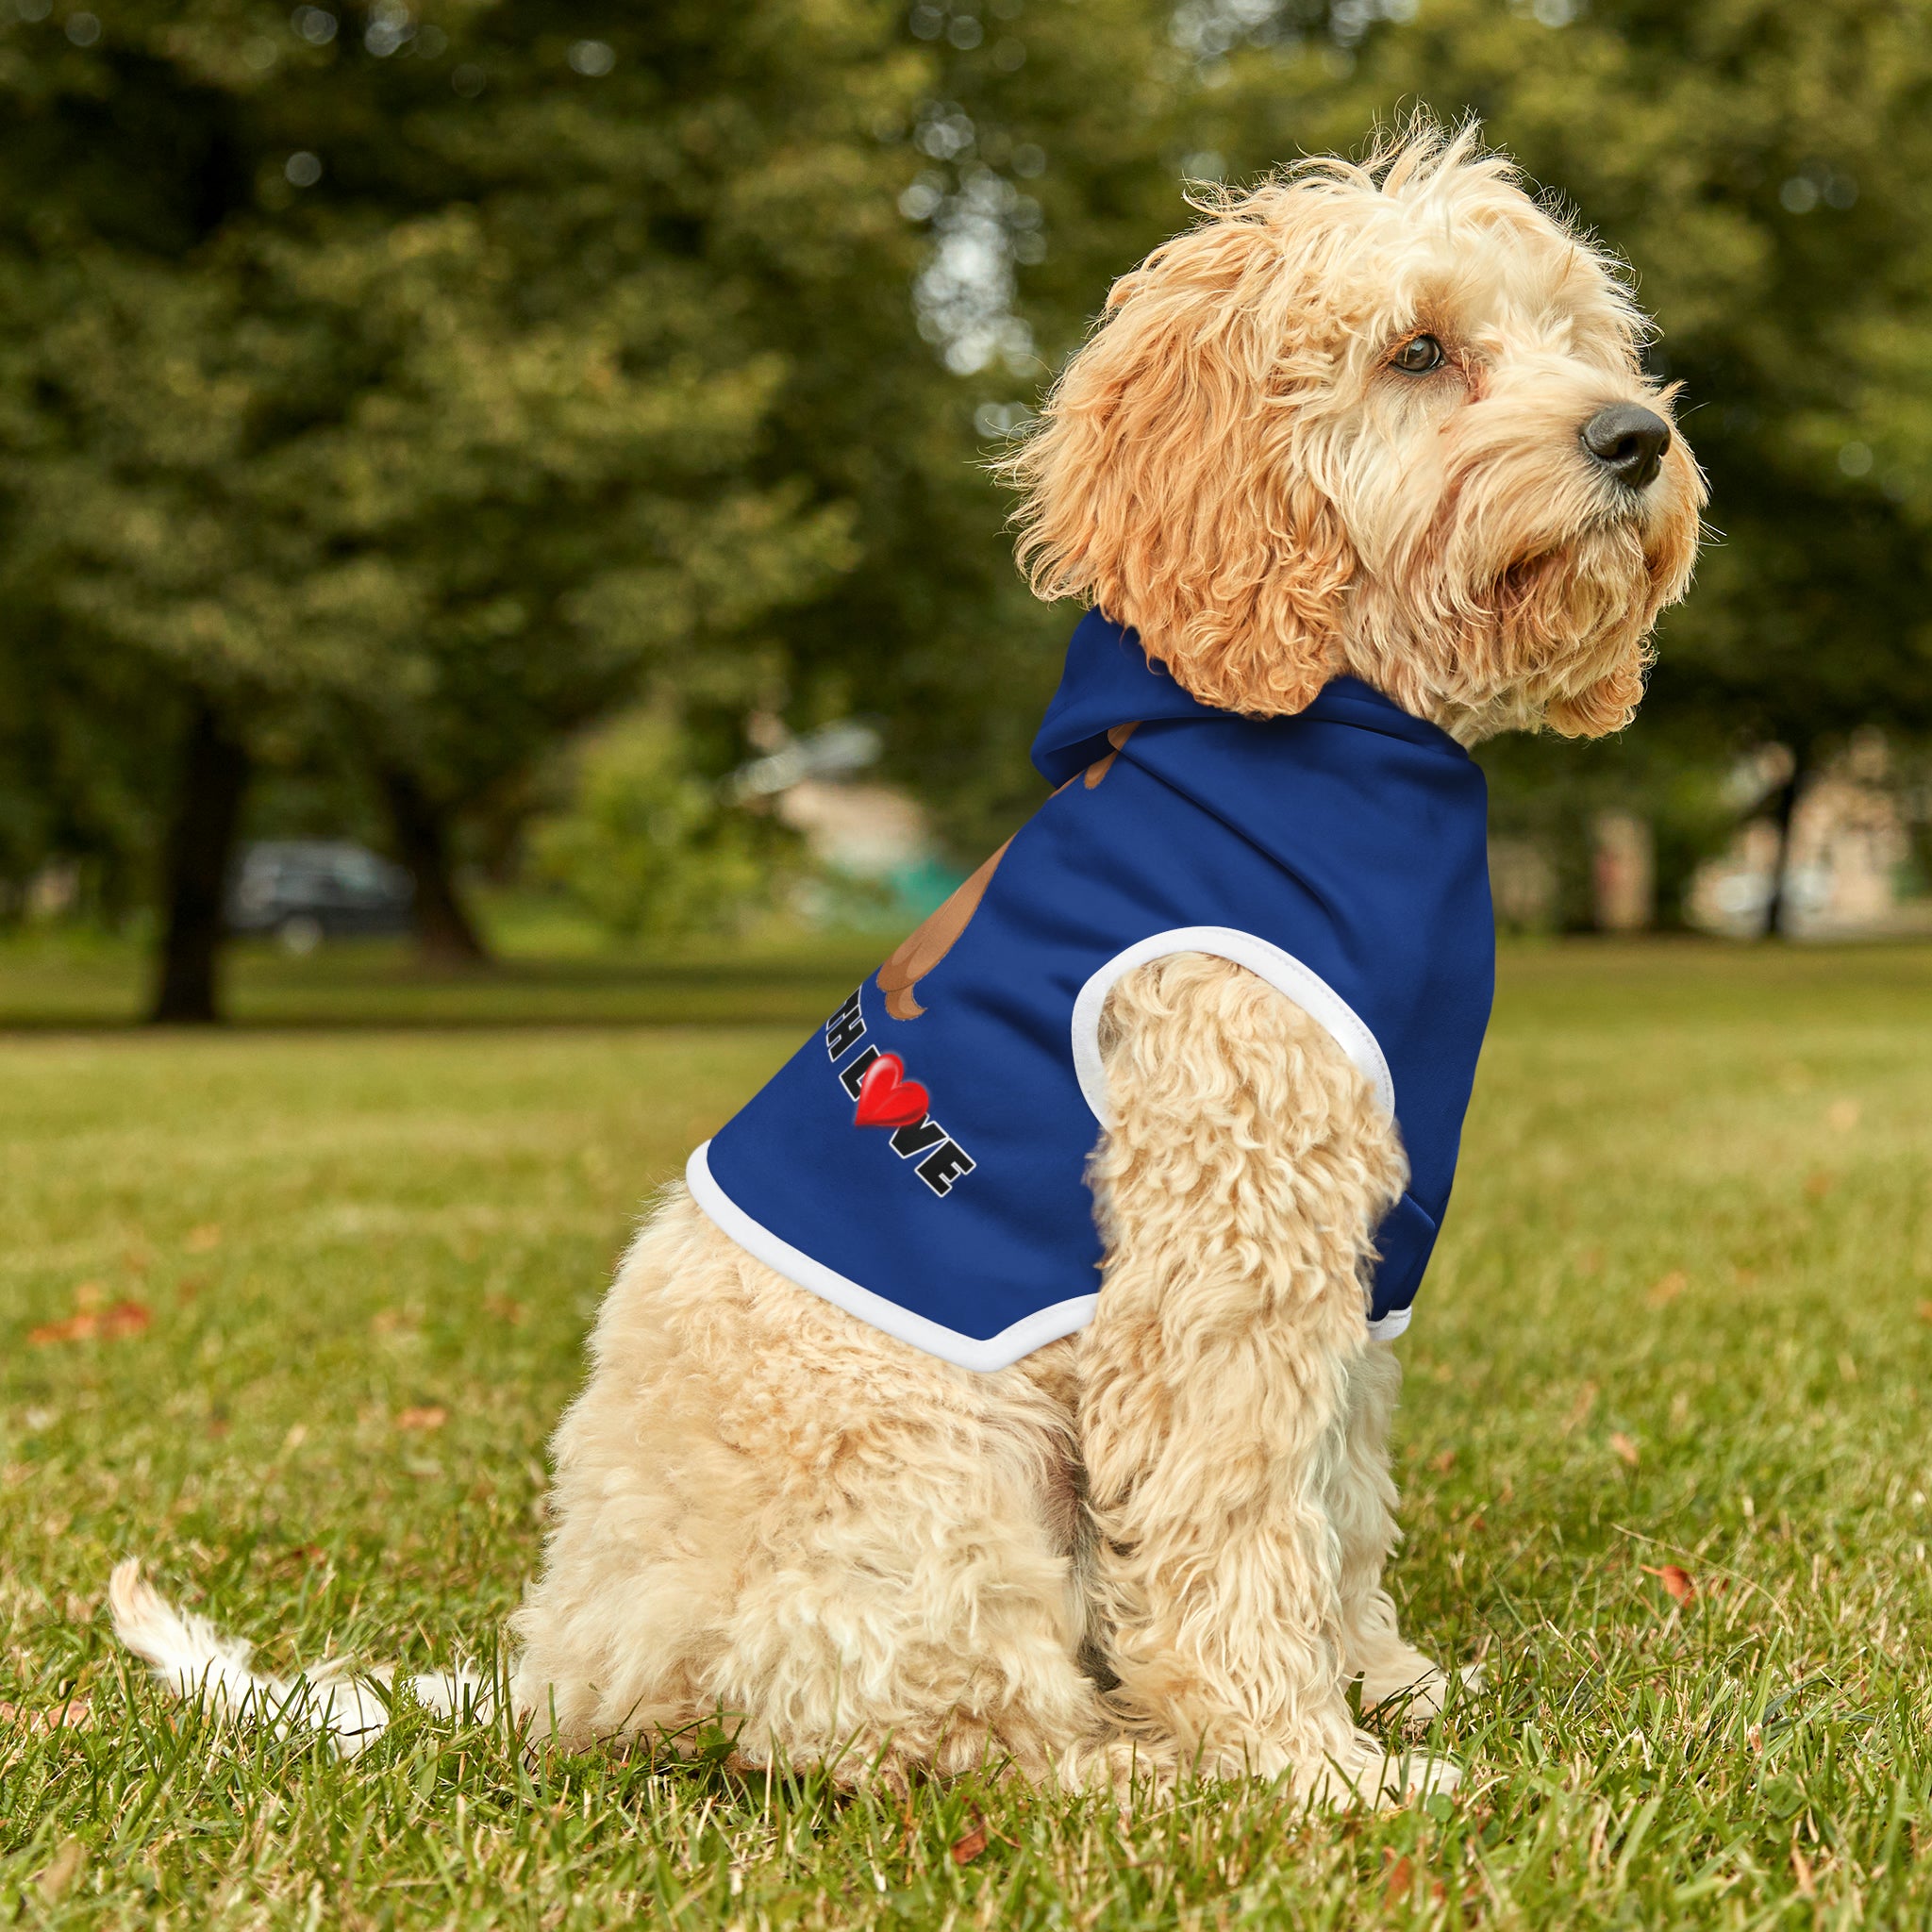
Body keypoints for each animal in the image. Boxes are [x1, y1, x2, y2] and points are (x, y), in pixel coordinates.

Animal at [112, 121, 1700, 1807]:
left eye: (1581, 338)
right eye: (1419, 351)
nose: (1636, 438)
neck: (1325, 736)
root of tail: (566, 1668)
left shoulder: (1355, 1257)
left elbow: (1337, 1499)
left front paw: (1386, 1688)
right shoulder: (1223, 1249)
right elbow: (1239, 1521)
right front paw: (1308, 1765)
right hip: (943, 1476)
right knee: (936, 1727)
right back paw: (1139, 1770)